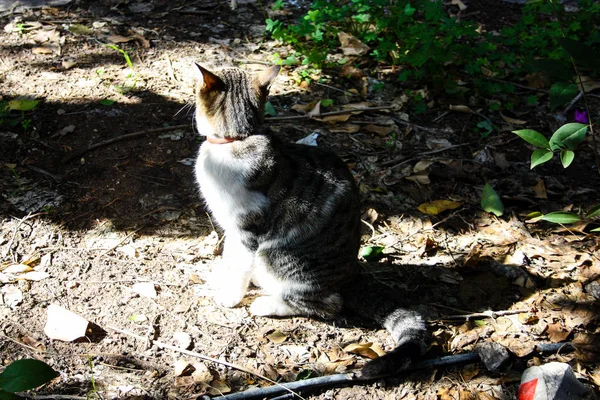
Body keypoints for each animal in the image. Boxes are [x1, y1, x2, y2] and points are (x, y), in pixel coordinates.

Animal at [193, 63, 426, 378]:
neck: (236, 141)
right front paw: (221, 276)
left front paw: (230, 296)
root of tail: (352, 274)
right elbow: (230, 258)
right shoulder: (230, 227)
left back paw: (267, 303)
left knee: (327, 304)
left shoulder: (247, 228)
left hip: (277, 255)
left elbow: (239, 265)